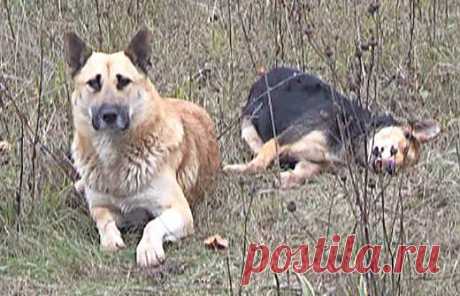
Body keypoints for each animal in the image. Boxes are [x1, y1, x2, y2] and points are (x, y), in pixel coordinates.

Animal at [63, 28, 220, 268]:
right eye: (94, 83)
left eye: (123, 82)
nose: (109, 115)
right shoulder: (102, 207)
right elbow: (103, 219)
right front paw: (110, 240)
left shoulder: (180, 211)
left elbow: (152, 224)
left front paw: (148, 249)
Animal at [225, 67, 440, 187]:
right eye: (404, 144)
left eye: (402, 167)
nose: (390, 168)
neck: (355, 131)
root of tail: (264, 76)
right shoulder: (284, 139)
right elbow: (259, 163)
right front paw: (236, 169)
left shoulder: (318, 163)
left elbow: (305, 172)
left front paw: (288, 178)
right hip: (249, 122)